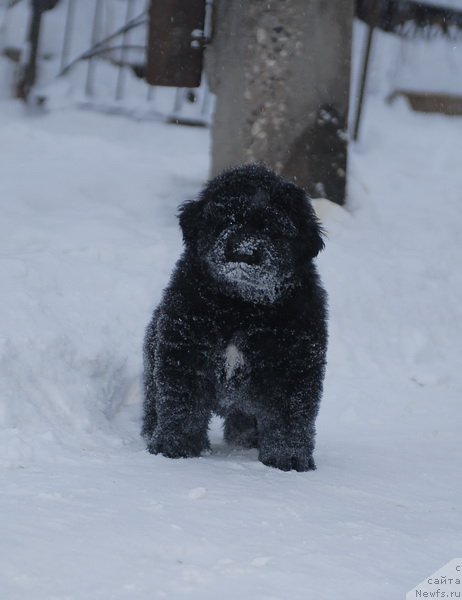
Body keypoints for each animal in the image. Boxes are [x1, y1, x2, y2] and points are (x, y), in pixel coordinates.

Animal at [143, 164, 326, 474]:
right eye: (226, 219)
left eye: (271, 228)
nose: (244, 252)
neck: (240, 308)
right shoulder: (184, 350)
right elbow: (181, 404)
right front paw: (174, 447)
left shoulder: (294, 363)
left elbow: (290, 416)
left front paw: (288, 459)